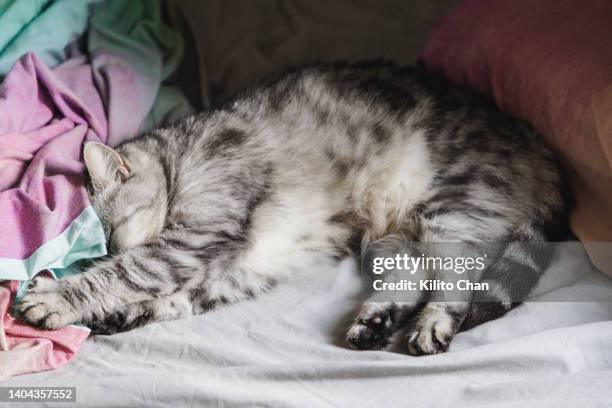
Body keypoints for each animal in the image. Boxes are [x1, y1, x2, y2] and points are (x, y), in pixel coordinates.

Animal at [15, 59, 568, 354]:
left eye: (109, 237)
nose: (107, 247)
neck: (180, 158)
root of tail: (537, 149)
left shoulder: (197, 236)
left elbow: (129, 273)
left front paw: (58, 297)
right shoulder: (239, 263)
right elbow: (178, 296)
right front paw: (119, 313)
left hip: (454, 207)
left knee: (457, 281)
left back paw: (430, 326)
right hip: (392, 240)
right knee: (409, 280)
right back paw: (375, 321)